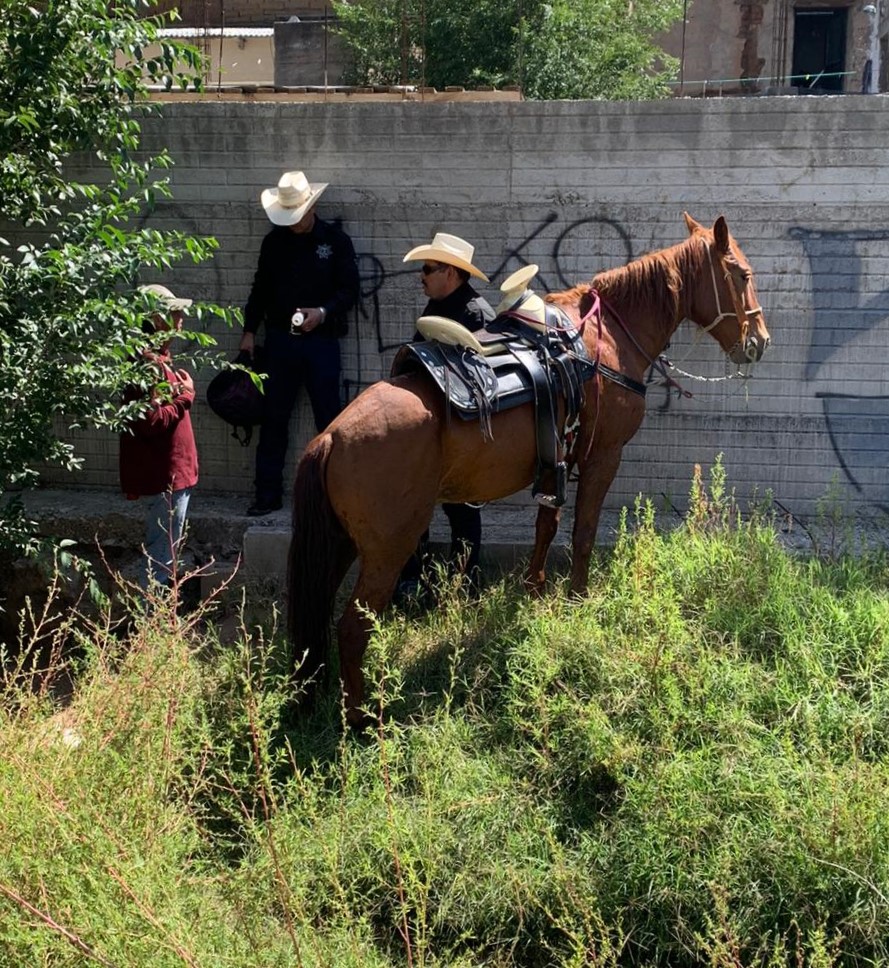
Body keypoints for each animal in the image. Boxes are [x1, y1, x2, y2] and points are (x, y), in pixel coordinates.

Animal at [286, 214, 772, 728]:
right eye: (742, 274)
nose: (760, 342)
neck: (604, 344)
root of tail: (330, 437)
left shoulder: (558, 461)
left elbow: (547, 526)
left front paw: (536, 593)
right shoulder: (603, 458)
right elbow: (582, 534)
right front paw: (579, 600)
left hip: (339, 543)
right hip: (386, 549)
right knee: (352, 629)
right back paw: (362, 720)